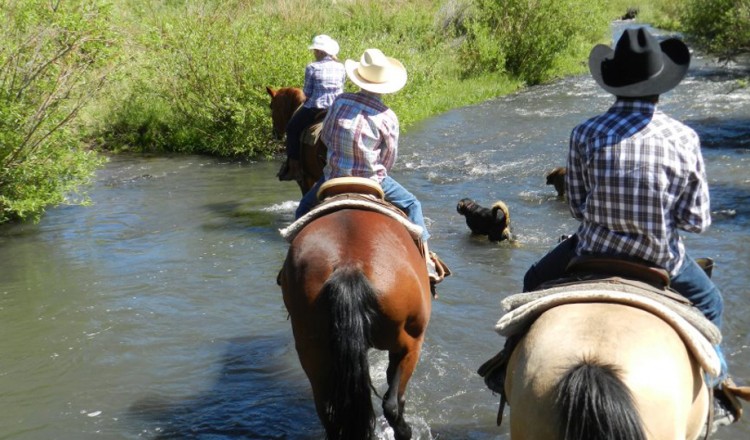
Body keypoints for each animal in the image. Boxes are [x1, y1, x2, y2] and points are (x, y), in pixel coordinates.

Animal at [280, 206, 434, 440]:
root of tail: (349, 265)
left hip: (312, 350)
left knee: (327, 410)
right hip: (411, 343)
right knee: (392, 404)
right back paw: (405, 431)